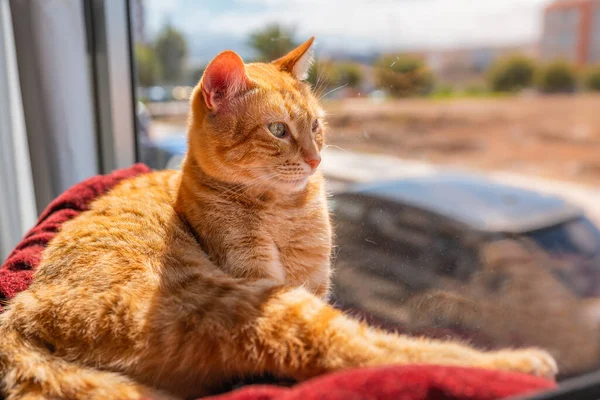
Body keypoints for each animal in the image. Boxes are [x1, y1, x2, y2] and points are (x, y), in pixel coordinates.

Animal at [0, 38, 556, 400]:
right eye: (277, 130)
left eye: (317, 126)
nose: (315, 159)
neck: (286, 211)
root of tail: (25, 305)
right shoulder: (265, 279)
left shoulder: (315, 284)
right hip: (253, 307)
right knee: (376, 352)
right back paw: (520, 363)